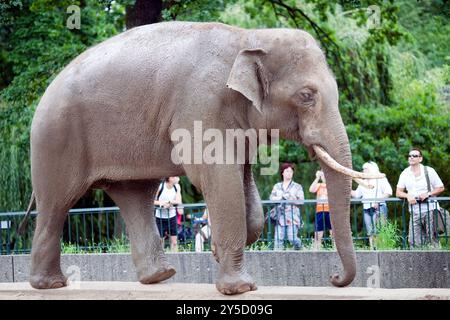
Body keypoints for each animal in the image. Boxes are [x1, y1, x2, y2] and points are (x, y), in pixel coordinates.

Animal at [22, 21, 380, 294]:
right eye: (306, 96)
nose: (334, 277)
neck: (250, 37)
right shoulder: (201, 106)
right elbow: (218, 177)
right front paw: (240, 287)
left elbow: (244, 185)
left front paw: (218, 253)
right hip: (56, 139)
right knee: (57, 204)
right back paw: (51, 285)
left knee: (134, 195)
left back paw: (159, 276)